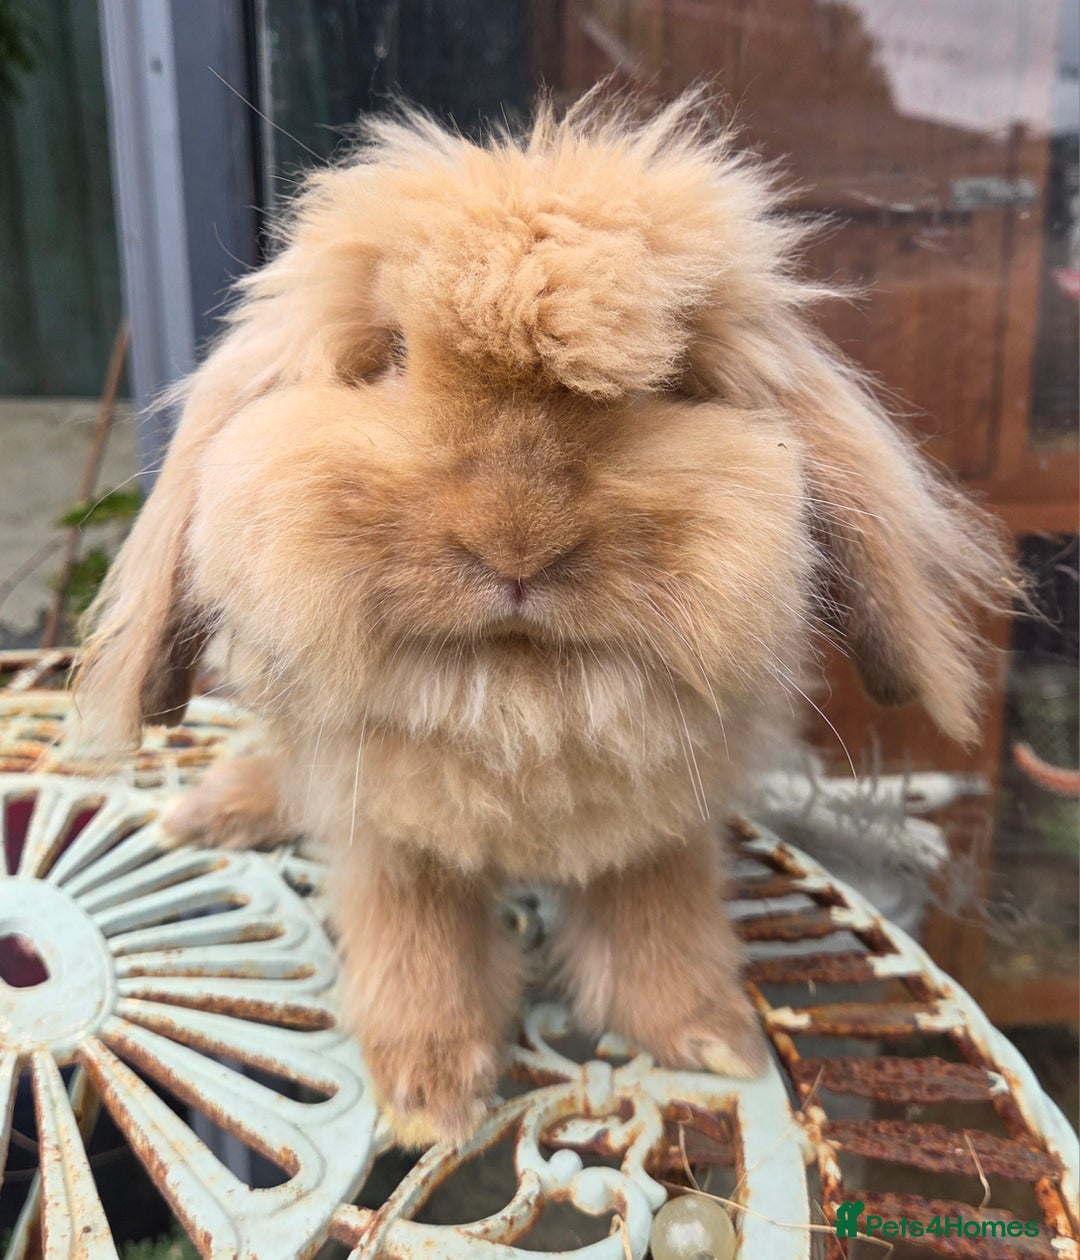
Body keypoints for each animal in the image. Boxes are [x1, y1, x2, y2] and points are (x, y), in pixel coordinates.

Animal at [72, 90, 1012, 1147]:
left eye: (671, 382)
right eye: (389, 358)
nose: (516, 545)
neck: (516, 705)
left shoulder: (660, 826)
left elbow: (659, 918)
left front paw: (710, 1033)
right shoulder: (392, 832)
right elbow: (418, 941)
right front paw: (428, 1091)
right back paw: (211, 810)